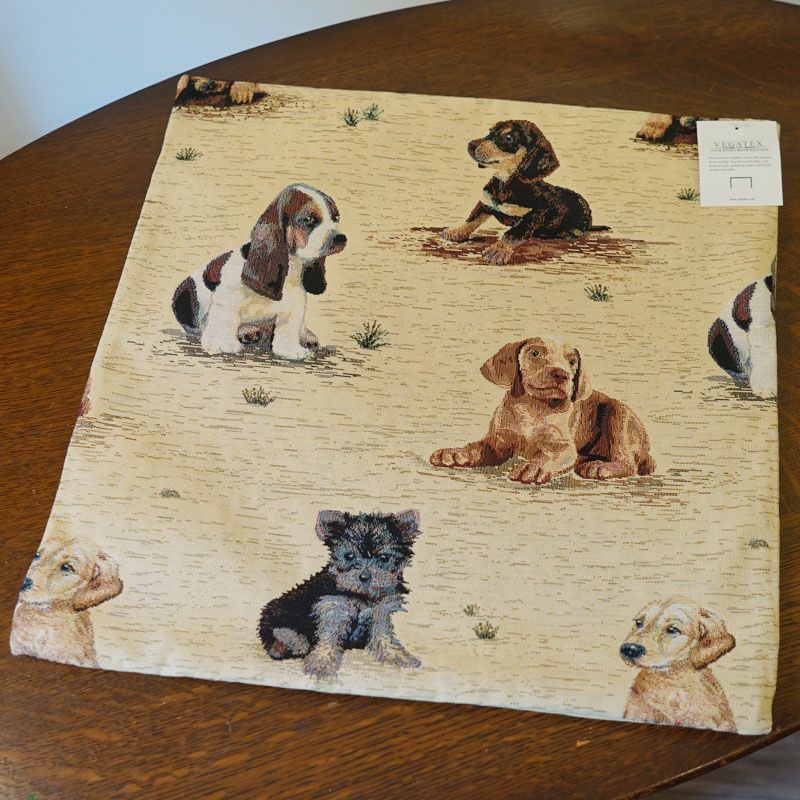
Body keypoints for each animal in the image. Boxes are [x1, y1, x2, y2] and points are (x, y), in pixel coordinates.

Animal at [172, 183, 347, 359]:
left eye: (336, 218)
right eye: (309, 219)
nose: (341, 238)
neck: (291, 269)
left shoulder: (295, 303)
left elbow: (289, 327)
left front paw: (290, 350)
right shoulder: (227, 295)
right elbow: (225, 317)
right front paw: (222, 343)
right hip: (186, 291)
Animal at [259, 509, 422, 679]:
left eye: (384, 558)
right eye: (349, 556)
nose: (364, 577)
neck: (361, 595)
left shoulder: (380, 612)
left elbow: (384, 637)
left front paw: (397, 655)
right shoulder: (333, 608)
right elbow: (328, 638)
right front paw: (322, 663)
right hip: (279, 612)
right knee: (280, 633)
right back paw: (289, 644)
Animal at [430, 336, 654, 484]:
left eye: (572, 361)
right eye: (535, 353)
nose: (562, 374)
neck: (532, 408)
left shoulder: (563, 446)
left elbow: (548, 455)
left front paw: (534, 468)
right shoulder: (497, 442)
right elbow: (477, 447)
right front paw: (455, 453)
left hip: (619, 414)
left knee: (628, 463)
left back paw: (600, 467)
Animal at [441, 120, 608, 264]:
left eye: (509, 138)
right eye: (490, 131)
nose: (470, 145)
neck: (505, 184)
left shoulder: (534, 214)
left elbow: (512, 233)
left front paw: (499, 250)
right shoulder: (486, 202)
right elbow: (472, 219)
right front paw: (455, 232)